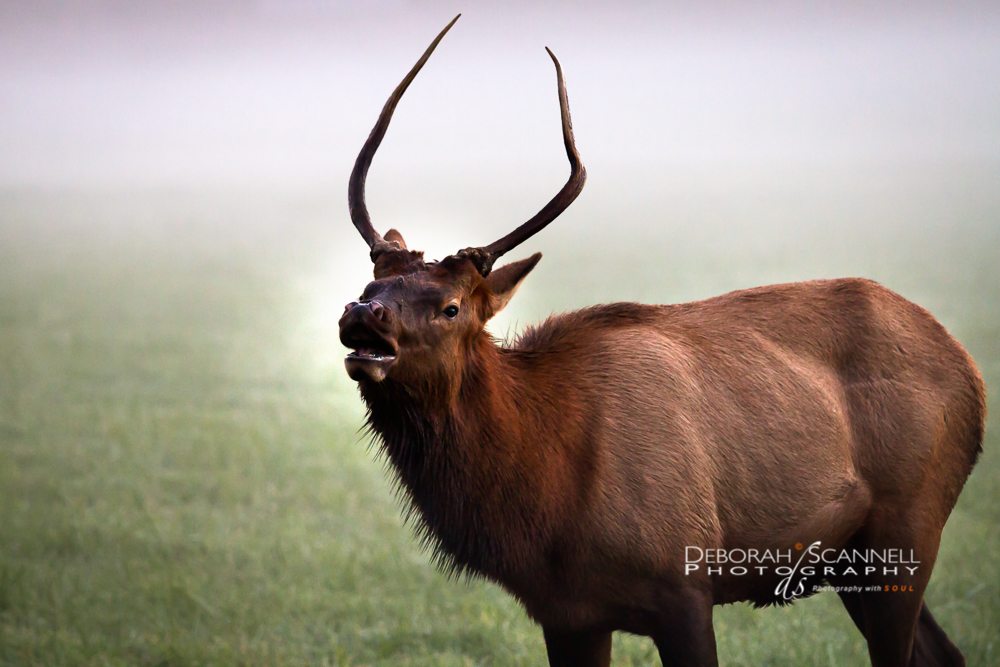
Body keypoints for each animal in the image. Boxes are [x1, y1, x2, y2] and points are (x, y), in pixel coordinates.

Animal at [337, 15, 985, 667]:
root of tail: (971, 371)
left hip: (910, 522)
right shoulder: (566, 613)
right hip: (849, 557)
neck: (546, 499)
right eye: (369, 282)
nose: (363, 315)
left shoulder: (684, 585)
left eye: (451, 307)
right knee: (943, 652)